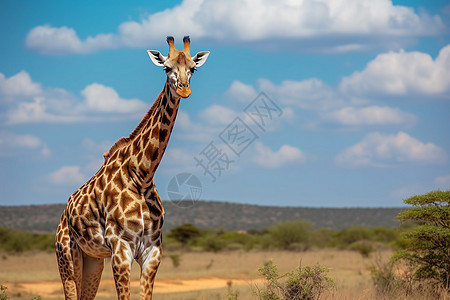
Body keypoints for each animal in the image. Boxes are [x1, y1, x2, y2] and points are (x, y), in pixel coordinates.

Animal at [55, 35, 209, 300]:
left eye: (193, 68)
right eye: (166, 68)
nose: (184, 89)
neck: (142, 176)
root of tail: (63, 217)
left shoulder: (152, 251)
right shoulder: (120, 249)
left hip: (92, 259)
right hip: (66, 255)